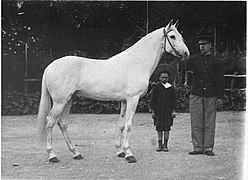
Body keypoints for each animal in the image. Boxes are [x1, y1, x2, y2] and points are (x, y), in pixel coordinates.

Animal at [36, 19, 189, 163]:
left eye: (181, 35)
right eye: (172, 36)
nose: (186, 53)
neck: (137, 62)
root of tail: (50, 67)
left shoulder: (124, 101)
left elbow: (121, 125)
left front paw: (120, 151)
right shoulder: (133, 99)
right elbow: (128, 125)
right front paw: (129, 154)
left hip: (68, 100)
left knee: (63, 123)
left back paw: (76, 153)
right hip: (60, 101)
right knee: (50, 122)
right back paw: (52, 155)